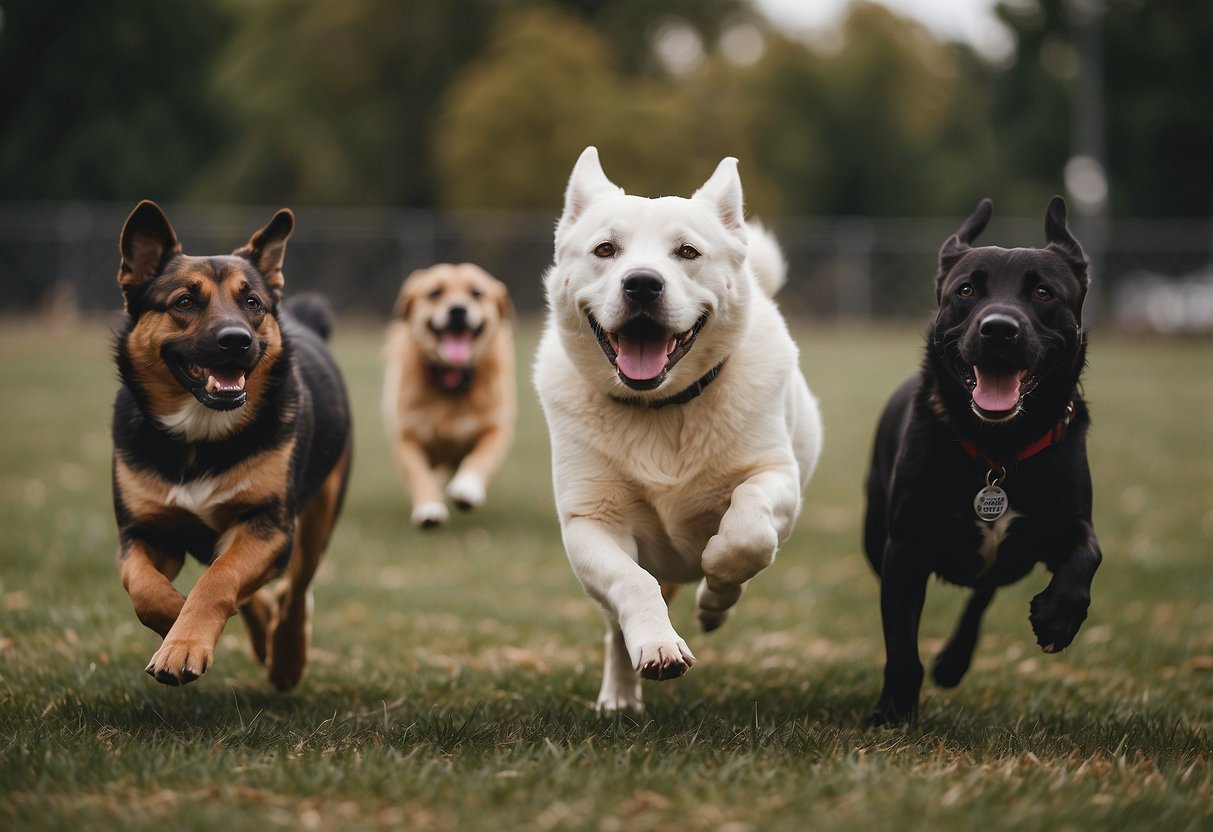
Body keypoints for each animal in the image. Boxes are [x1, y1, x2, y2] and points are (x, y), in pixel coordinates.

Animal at [110, 202, 351, 688]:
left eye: (252, 302)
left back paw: (286, 657)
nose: (237, 340)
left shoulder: (268, 525)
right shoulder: (145, 531)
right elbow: (143, 587)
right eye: (184, 301)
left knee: (296, 588)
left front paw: (184, 643)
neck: (201, 432)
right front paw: (179, 627)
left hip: (316, 520)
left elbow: (218, 581)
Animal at [378, 264, 511, 528]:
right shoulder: (406, 436)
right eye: (435, 292)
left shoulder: (495, 428)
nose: (458, 310)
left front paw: (467, 487)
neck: (452, 379)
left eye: (476, 293)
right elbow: (419, 474)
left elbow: (481, 458)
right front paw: (429, 507)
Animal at [536, 148, 819, 708]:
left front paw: (717, 589)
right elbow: (632, 583)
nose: (642, 283)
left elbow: (746, 532)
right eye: (605, 249)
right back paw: (620, 694)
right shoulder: (589, 521)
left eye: (687, 252)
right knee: (620, 618)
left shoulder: (777, 477)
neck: (659, 408)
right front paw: (657, 646)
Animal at [863, 198, 1101, 727]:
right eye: (967, 290)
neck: (1000, 448)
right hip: (875, 537)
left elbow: (1089, 552)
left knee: (983, 592)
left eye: (1043, 292)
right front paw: (893, 712)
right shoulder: (903, 550)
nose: (998, 329)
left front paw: (1059, 617)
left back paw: (954, 662)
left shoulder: (1065, 522)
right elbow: (901, 645)